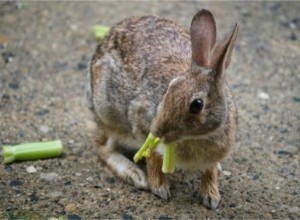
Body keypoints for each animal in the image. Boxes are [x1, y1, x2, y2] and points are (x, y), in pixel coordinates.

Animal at [87, 9, 239, 210]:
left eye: (197, 105)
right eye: (171, 87)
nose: (157, 129)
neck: (199, 136)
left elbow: (210, 169)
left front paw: (211, 196)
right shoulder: (141, 123)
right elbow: (151, 155)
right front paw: (159, 188)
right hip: (108, 114)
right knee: (102, 146)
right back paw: (134, 174)